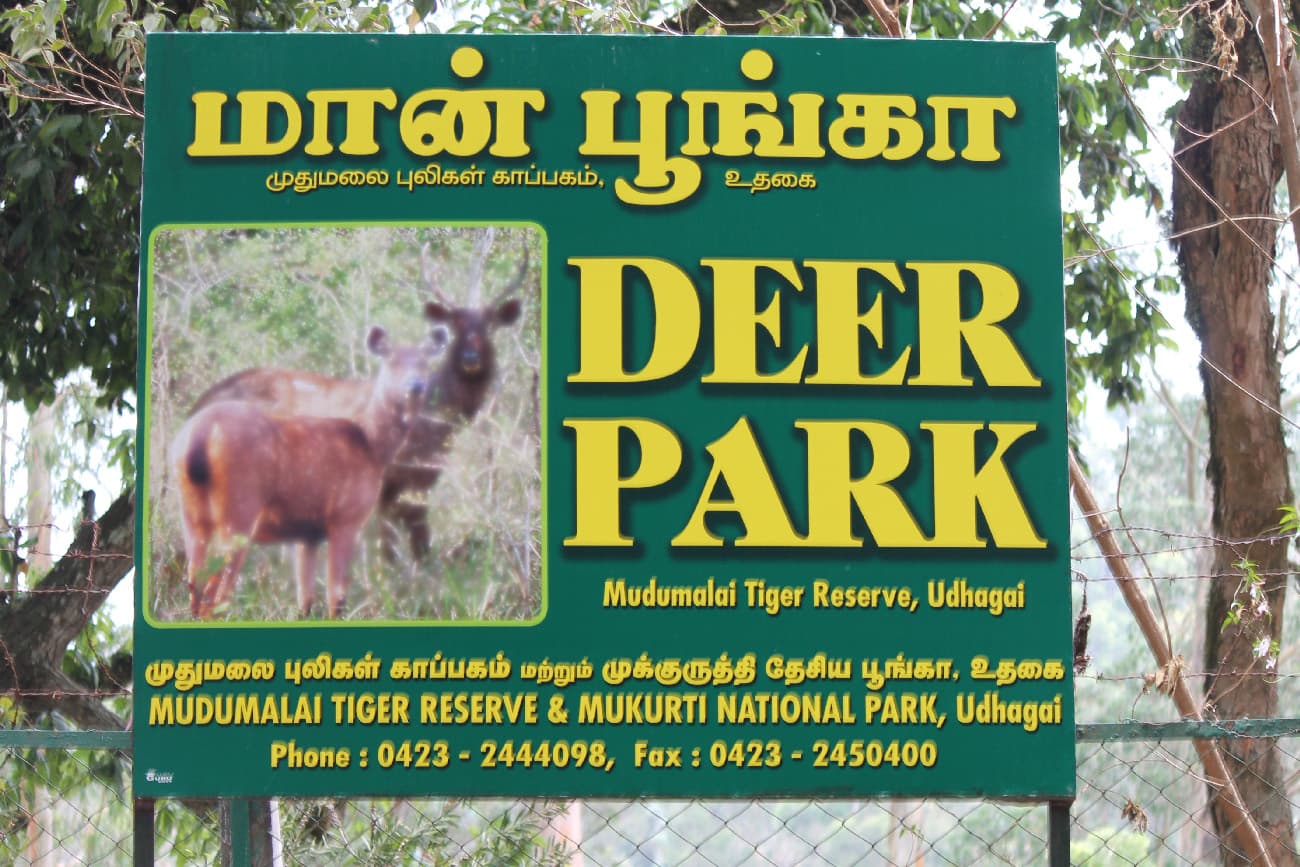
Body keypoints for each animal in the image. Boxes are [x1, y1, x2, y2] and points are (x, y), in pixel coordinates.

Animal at [174, 326, 436, 619]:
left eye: (425, 362)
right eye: (392, 361)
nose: (415, 385)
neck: (370, 444)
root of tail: (200, 437)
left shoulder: (306, 533)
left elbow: (305, 600)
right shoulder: (346, 517)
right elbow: (337, 598)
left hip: (192, 513)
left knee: (195, 586)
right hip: (239, 510)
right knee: (214, 596)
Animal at [188, 245, 529, 562]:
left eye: (490, 325)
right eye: (456, 325)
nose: (471, 358)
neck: (435, 425)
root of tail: (198, 406)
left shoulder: (422, 479)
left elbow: (417, 543)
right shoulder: (390, 479)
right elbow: (394, 546)